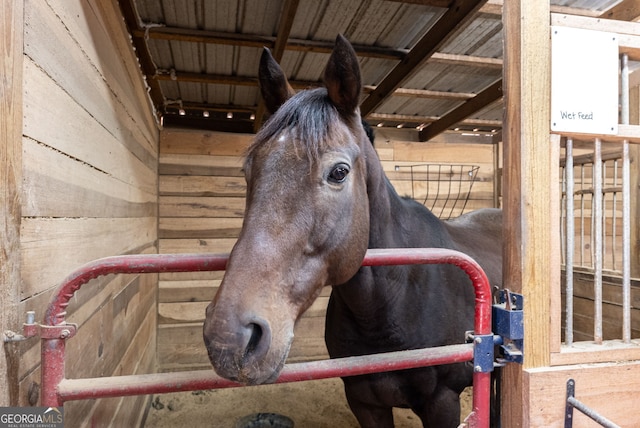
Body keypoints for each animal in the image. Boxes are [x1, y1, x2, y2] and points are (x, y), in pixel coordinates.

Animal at [202, 35, 502, 426]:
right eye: (248, 170)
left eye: (339, 172)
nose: (229, 338)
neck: (392, 302)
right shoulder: (364, 402)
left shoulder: (443, 403)